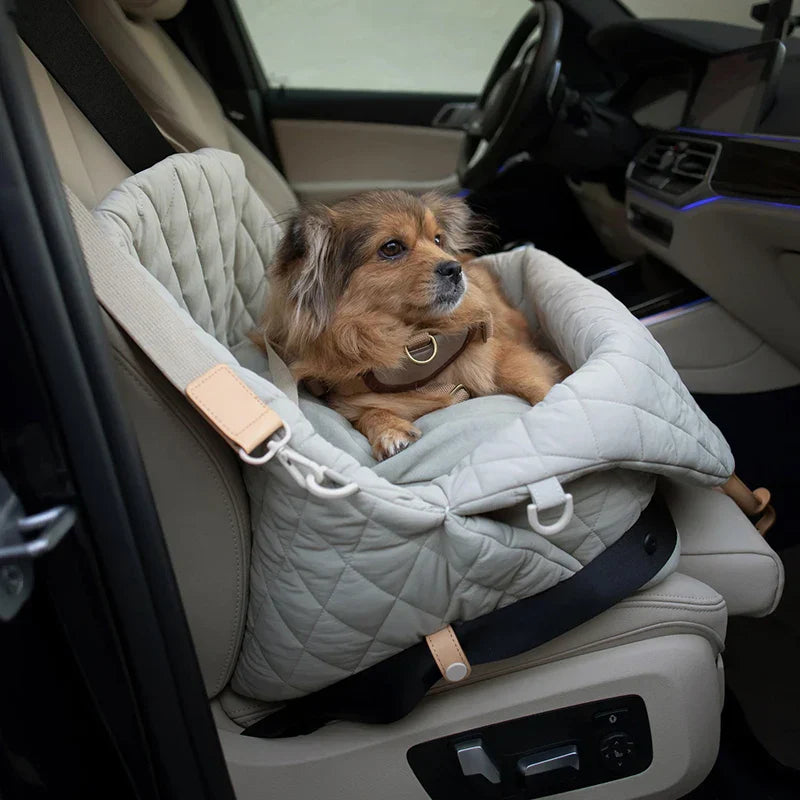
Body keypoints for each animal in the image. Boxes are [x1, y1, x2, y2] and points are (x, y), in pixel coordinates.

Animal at [258, 190, 568, 460]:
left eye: (438, 240)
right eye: (392, 248)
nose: (455, 268)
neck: (416, 341)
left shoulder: (508, 357)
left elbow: (536, 384)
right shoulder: (353, 400)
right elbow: (369, 412)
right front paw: (388, 430)